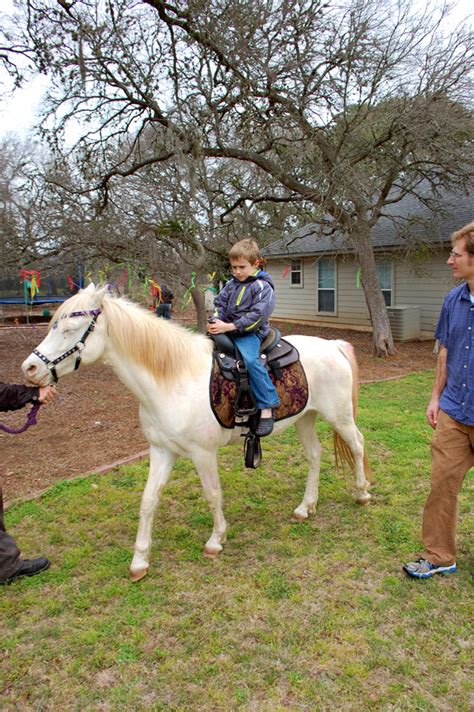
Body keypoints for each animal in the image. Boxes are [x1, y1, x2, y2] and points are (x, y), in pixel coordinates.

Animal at [21, 282, 370, 580]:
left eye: (71, 329)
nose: (30, 369)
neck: (172, 379)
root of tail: (334, 345)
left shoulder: (203, 454)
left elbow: (212, 494)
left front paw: (216, 540)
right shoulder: (162, 451)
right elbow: (148, 500)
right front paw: (140, 561)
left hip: (338, 416)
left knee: (357, 444)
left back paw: (362, 493)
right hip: (305, 418)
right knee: (315, 455)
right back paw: (305, 507)